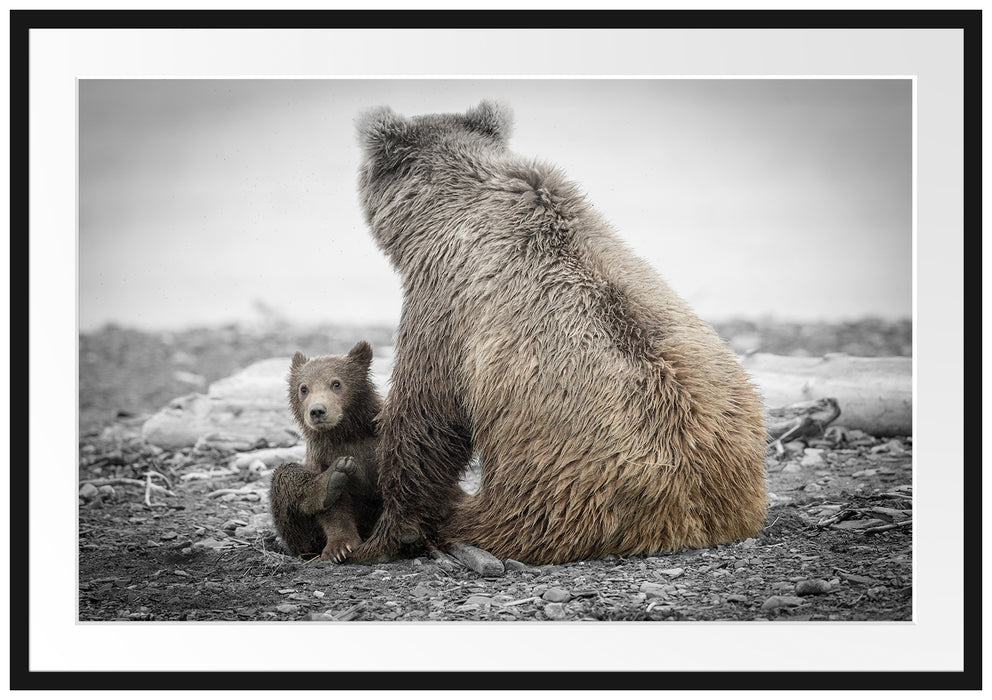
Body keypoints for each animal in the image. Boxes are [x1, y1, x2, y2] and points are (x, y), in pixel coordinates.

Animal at [269, 341, 383, 562]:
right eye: (304, 388)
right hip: (304, 538)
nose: (317, 411)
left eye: (336, 383)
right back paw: (329, 481)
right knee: (285, 475)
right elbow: (334, 511)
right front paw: (340, 547)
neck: (346, 433)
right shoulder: (322, 456)